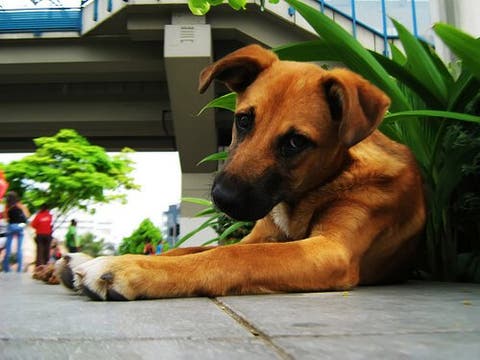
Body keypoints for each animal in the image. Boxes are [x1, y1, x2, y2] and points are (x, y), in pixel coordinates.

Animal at [66, 45, 424, 300]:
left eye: (295, 142)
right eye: (243, 120)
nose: (221, 198)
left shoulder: (331, 250)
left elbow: (231, 257)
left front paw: (124, 267)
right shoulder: (259, 236)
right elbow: (190, 249)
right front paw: (86, 261)